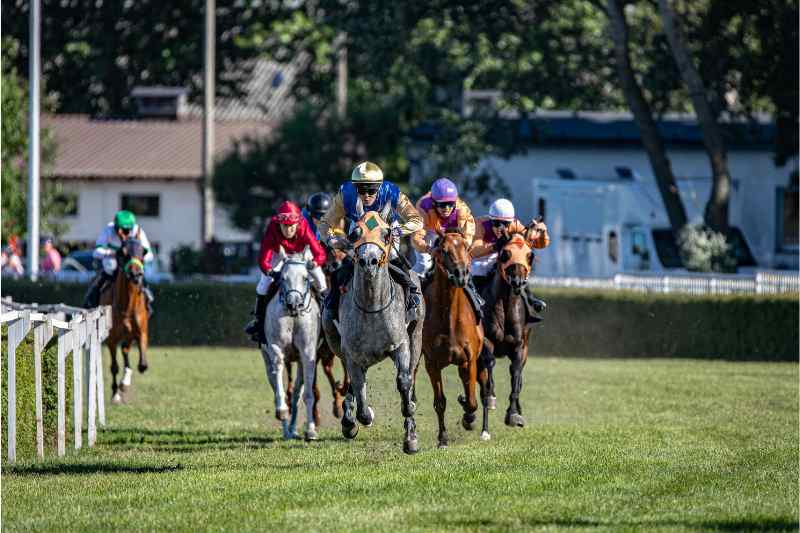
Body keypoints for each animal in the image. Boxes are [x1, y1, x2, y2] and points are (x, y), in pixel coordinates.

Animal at [101, 238, 151, 404]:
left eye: (143, 252)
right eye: (123, 253)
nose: (136, 274)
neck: (127, 306)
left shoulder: (141, 332)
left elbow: (142, 365)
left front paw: (124, 383)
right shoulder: (111, 339)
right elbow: (114, 367)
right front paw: (115, 394)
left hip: (128, 337)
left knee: (125, 351)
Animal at [256, 245, 318, 440]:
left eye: (305, 277)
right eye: (282, 278)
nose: (293, 305)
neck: (293, 318)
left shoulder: (308, 353)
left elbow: (308, 394)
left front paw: (311, 430)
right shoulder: (275, 348)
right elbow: (279, 386)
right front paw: (282, 411)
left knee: (297, 392)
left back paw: (293, 429)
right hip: (266, 358)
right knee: (276, 385)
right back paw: (286, 429)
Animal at [324, 212, 428, 454]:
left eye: (387, 233)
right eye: (355, 234)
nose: (368, 261)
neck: (372, 306)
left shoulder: (400, 344)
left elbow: (404, 382)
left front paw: (410, 434)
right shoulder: (352, 354)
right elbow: (361, 403)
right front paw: (359, 417)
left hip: (417, 336)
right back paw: (348, 420)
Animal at [422, 227, 484, 446]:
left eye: (466, 247)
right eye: (445, 250)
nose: (461, 274)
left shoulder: (469, 361)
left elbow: (472, 401)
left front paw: (468, 416)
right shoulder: (431, 363)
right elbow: (439, 402)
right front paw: (442, 438)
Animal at [478, 235, 536, 438]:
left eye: (530, 255)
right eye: (505, 254)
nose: (518, 282)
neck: (505, 305)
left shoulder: (520, 347)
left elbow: (516, 377)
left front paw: (513, 414)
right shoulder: (486, 342)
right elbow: (489, 371)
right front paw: (491, 398)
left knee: (517, 379)